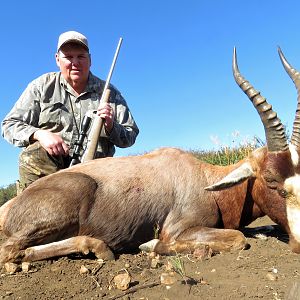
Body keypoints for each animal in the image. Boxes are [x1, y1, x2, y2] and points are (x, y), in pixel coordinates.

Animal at [0, 46, 300, 264]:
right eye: (271, 180)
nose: (298, 243)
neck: (205, 180)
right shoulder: (179, 229)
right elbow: (237, 238)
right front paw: (150, 244)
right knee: (12, 250)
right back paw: (99, 248)